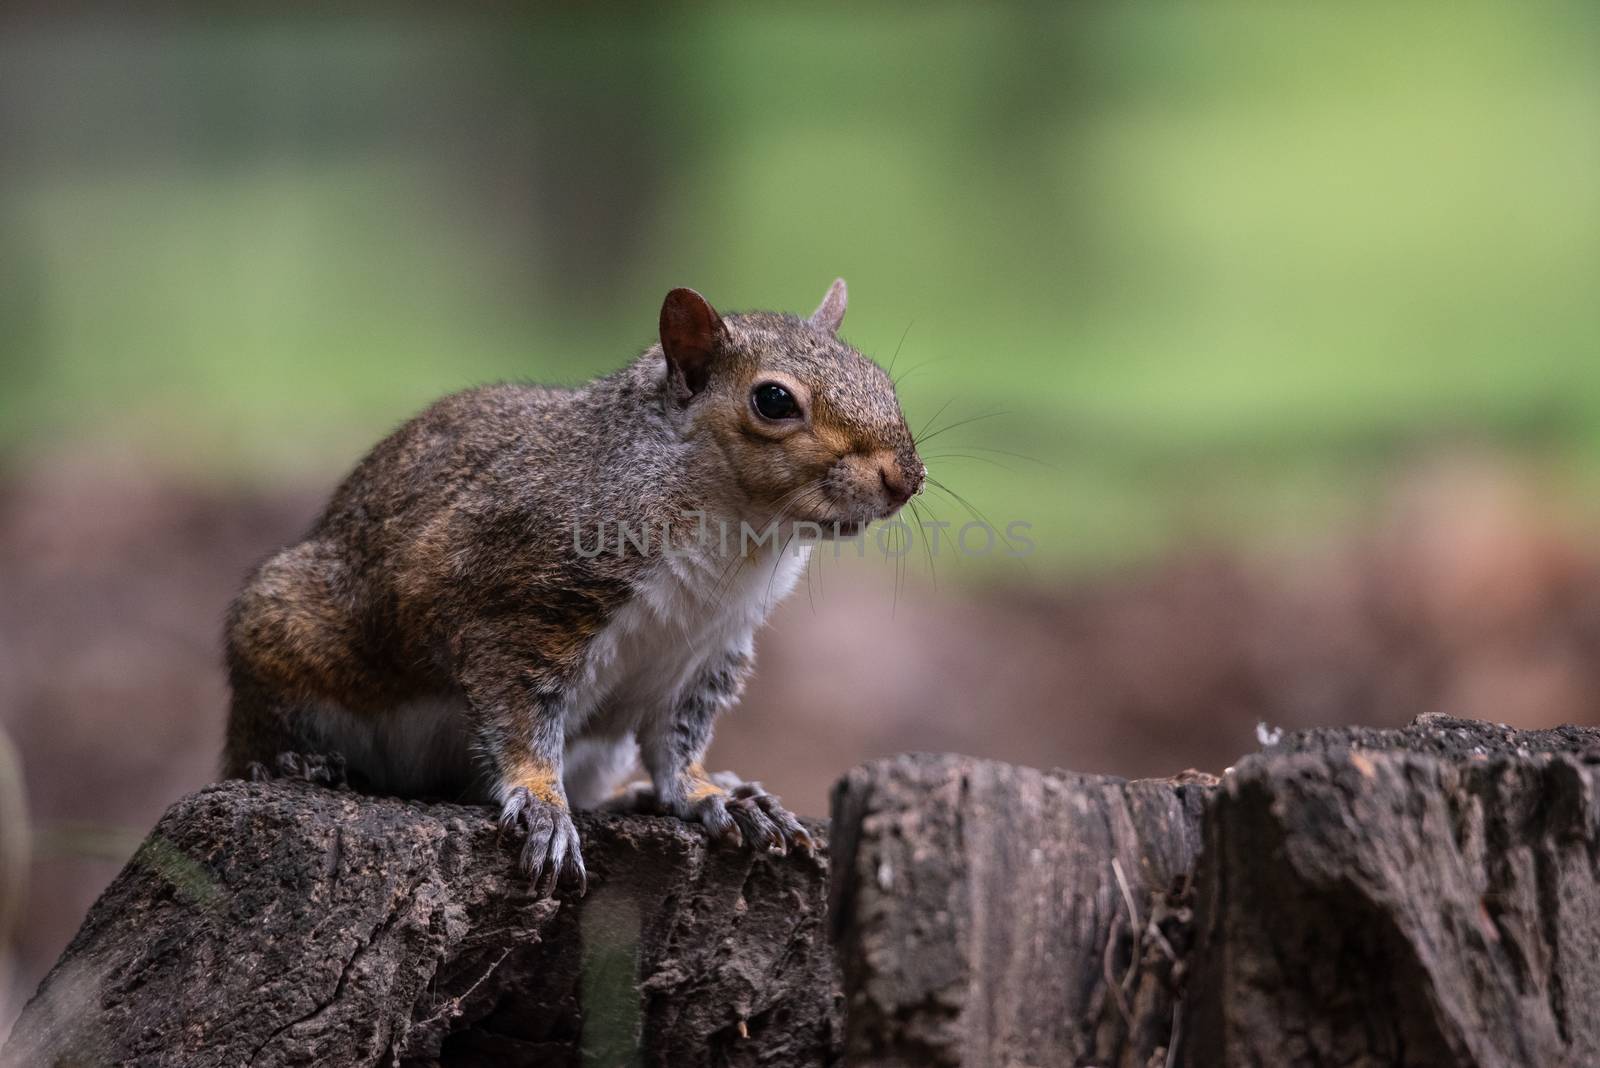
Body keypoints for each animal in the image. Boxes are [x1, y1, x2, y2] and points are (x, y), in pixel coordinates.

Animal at [224, 281, 928, 895]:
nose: (907, 478)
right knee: (266, 725)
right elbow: (520, 718)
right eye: (775, 401)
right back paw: (292, 764)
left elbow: (678, 745)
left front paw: (712, 795)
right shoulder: (523, 608)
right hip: (290, 635)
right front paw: (542, 804)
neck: (739, 536)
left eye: (880, 378)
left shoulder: (708, 652)